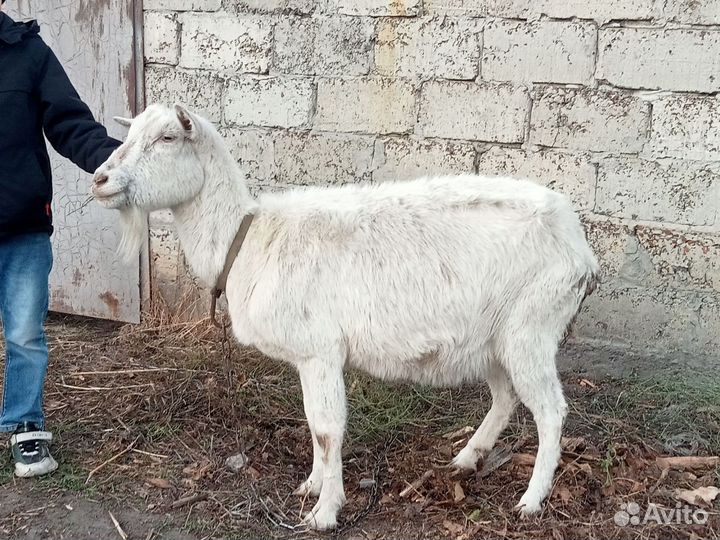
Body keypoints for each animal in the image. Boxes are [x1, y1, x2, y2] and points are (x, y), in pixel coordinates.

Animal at [92, 103, 600, 530]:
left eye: (167, 138)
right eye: (129, 132)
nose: (99, 179)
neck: (248, 237)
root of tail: (582, 252)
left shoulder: (321, 350)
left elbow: (327, 429)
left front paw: (324, 512)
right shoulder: (307, 357)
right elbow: (313, 424)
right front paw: (311, 485)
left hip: (531, 325)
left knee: (550, 410)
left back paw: (531, 500)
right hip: (493, 338)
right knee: (505, 397)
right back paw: (466, 459)